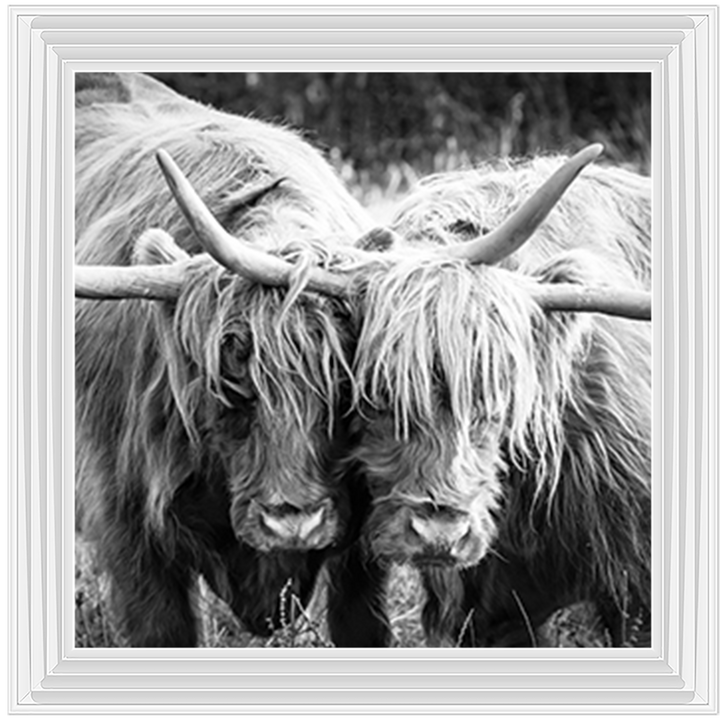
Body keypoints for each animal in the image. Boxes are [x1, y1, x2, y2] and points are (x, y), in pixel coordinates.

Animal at [74, 72, 390, 647]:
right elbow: (161, 630)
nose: (293, 522)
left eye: (344, 384)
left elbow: (362, 623)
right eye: (229, 379)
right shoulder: (126, 525)